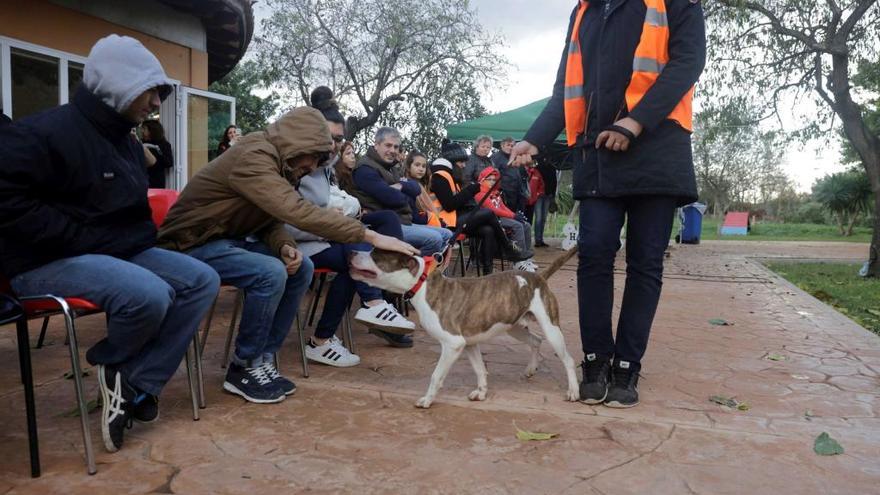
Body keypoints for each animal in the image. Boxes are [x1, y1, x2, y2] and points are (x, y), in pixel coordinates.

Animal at [348, 246, 580, 408]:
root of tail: (538, 277)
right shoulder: (469, 344)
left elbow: (436, 375)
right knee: (535, 340)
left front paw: (427, 400)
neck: (422, 285)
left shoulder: (453, 344)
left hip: (551, 328)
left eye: (376, 255)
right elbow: (480, 369)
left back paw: (573, 391)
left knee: (567, 359)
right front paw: (482, 392)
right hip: (513, 327)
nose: (351, 251)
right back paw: (531, 368)